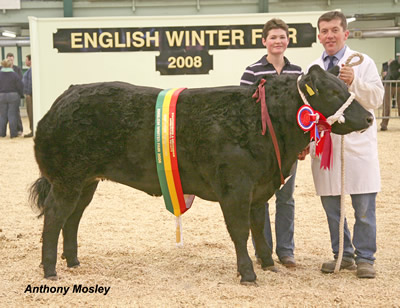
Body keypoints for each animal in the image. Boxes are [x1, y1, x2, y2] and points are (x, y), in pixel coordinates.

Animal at [30, 64, 372, 284]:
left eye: (345, 86)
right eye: (332, 91)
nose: (369, 117)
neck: (265, 123)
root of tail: (63, 99)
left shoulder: (259, 189)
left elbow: (260, 228)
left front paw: (268, 264)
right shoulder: (235, 188)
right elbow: (240, 231)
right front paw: (248, 274)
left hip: (86, 182)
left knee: (72, 219)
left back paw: (73, 262)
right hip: (66, 179)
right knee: (54, 217)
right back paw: (50, 270)